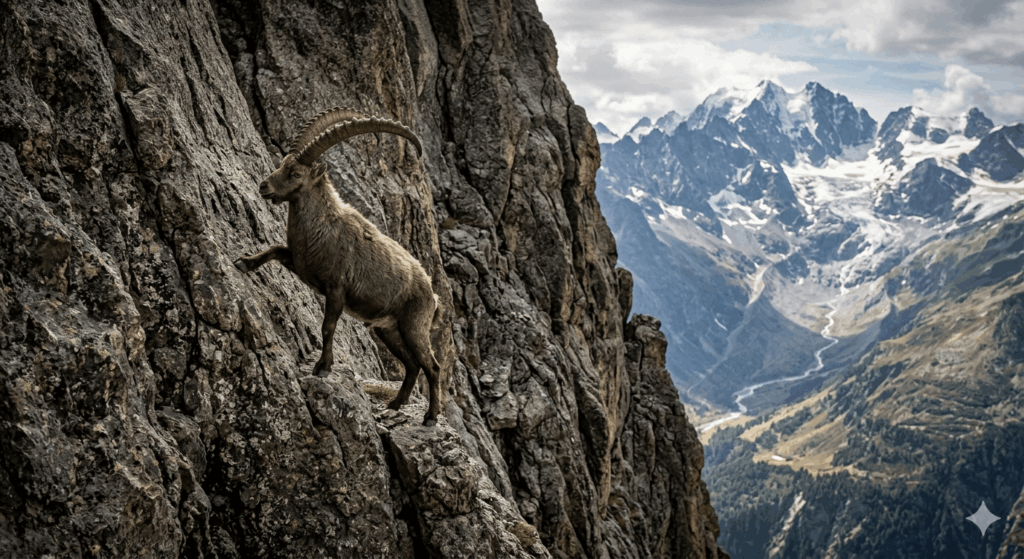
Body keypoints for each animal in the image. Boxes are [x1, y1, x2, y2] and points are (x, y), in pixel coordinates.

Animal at [234, 107, 444, 425]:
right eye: (282, 165)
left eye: (296, 173)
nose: (263, 186)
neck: (323, 226)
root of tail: (432, 295)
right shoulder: (300, 264)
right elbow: (275, 249)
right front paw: (245, 263)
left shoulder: (336, 289)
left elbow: (327, 327)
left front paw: (322, 367)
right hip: (387, 330)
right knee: (411, 365)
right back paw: (394, 405)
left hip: (413, 327)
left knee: (431, 366)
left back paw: (430, 417)